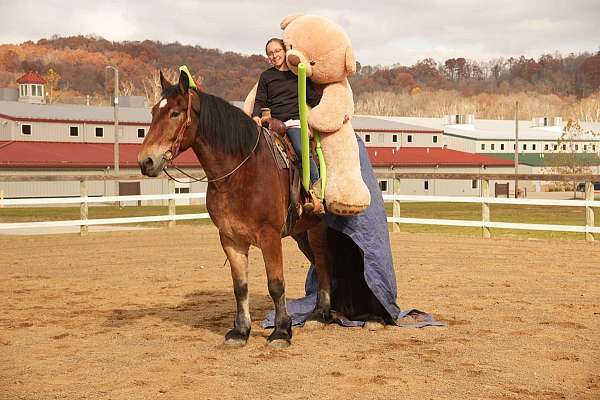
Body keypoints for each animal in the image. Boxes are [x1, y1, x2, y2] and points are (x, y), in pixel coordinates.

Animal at [137, 70, 332, 348]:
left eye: (175, 113)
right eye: (154, 111)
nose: (146, 161)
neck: (241, 172)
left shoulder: (270, 237)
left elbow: (276, 284)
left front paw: (281, 331)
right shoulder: (230, 239)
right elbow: (240, 286)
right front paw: (241, 330)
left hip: (318, 228)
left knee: (324, 263)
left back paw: (321, 313)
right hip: (300, 233)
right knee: (318, 263)